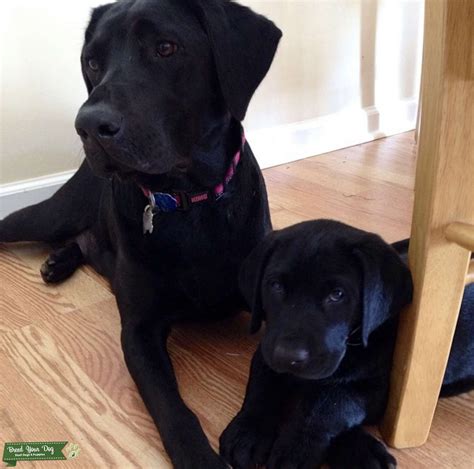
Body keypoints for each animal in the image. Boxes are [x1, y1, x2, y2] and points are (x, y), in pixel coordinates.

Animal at [0, 1, 282, 466]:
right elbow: (173, 409)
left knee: (85, 243)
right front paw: (200, 456)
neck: (189, 200)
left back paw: (59, 262)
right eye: (93, 62)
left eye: (166, 48)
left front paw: (254, 428)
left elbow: (272, 362)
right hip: (49, 215)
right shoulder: (138, 332)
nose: (88, 125)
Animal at [222, 220, 474, 468]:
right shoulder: (267, 352)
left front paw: (295, 450)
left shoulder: (380, 390)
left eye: (337, 294)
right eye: (275, 286)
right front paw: (247, 433)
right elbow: (261, 385)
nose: (288, 356)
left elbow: (325, 405)